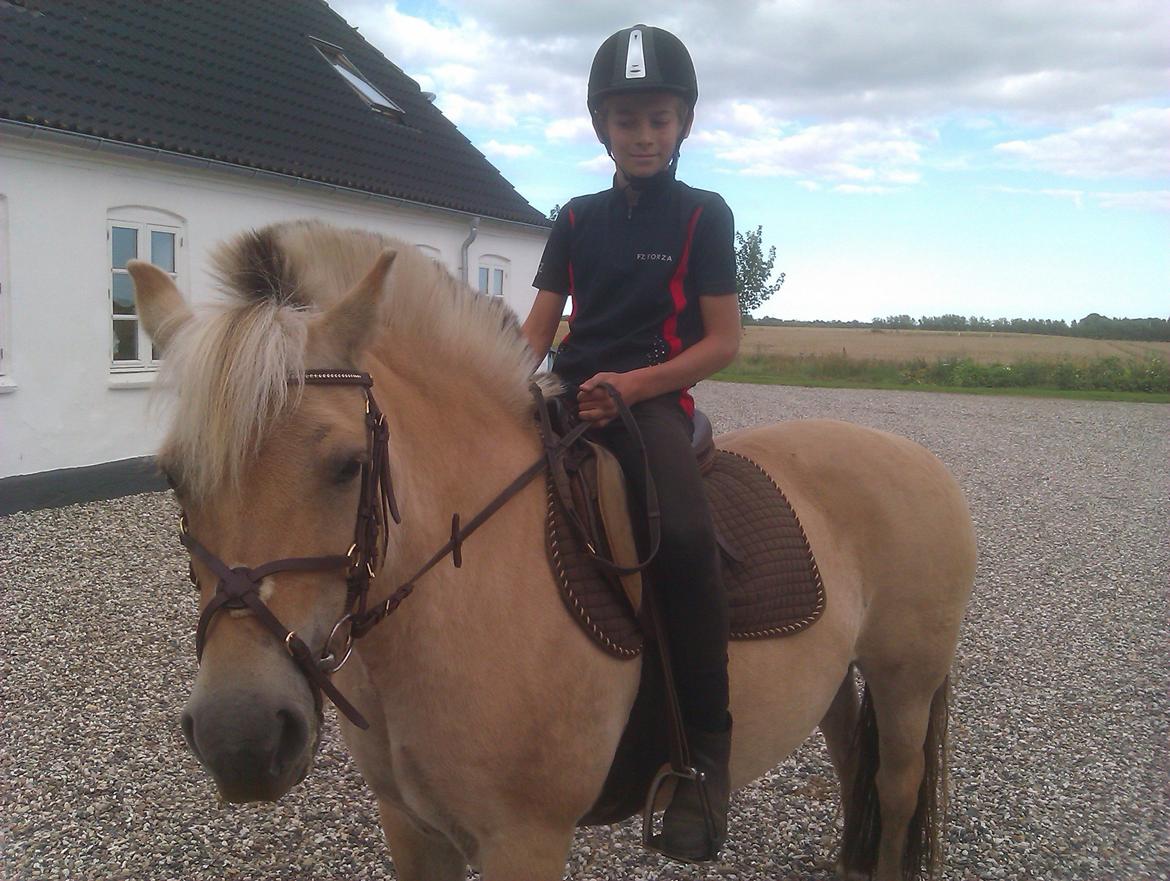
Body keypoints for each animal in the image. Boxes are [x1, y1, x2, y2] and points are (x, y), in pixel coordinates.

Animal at [127, 219, 976, 881]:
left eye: (348, 465)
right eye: (172, 475)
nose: (241, 737)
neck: (463, 589)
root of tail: (919, 457)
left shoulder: (525, 839)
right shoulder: (412, 827)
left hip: (905, 681)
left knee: (894, 787)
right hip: (840, 675)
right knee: (850, 760)